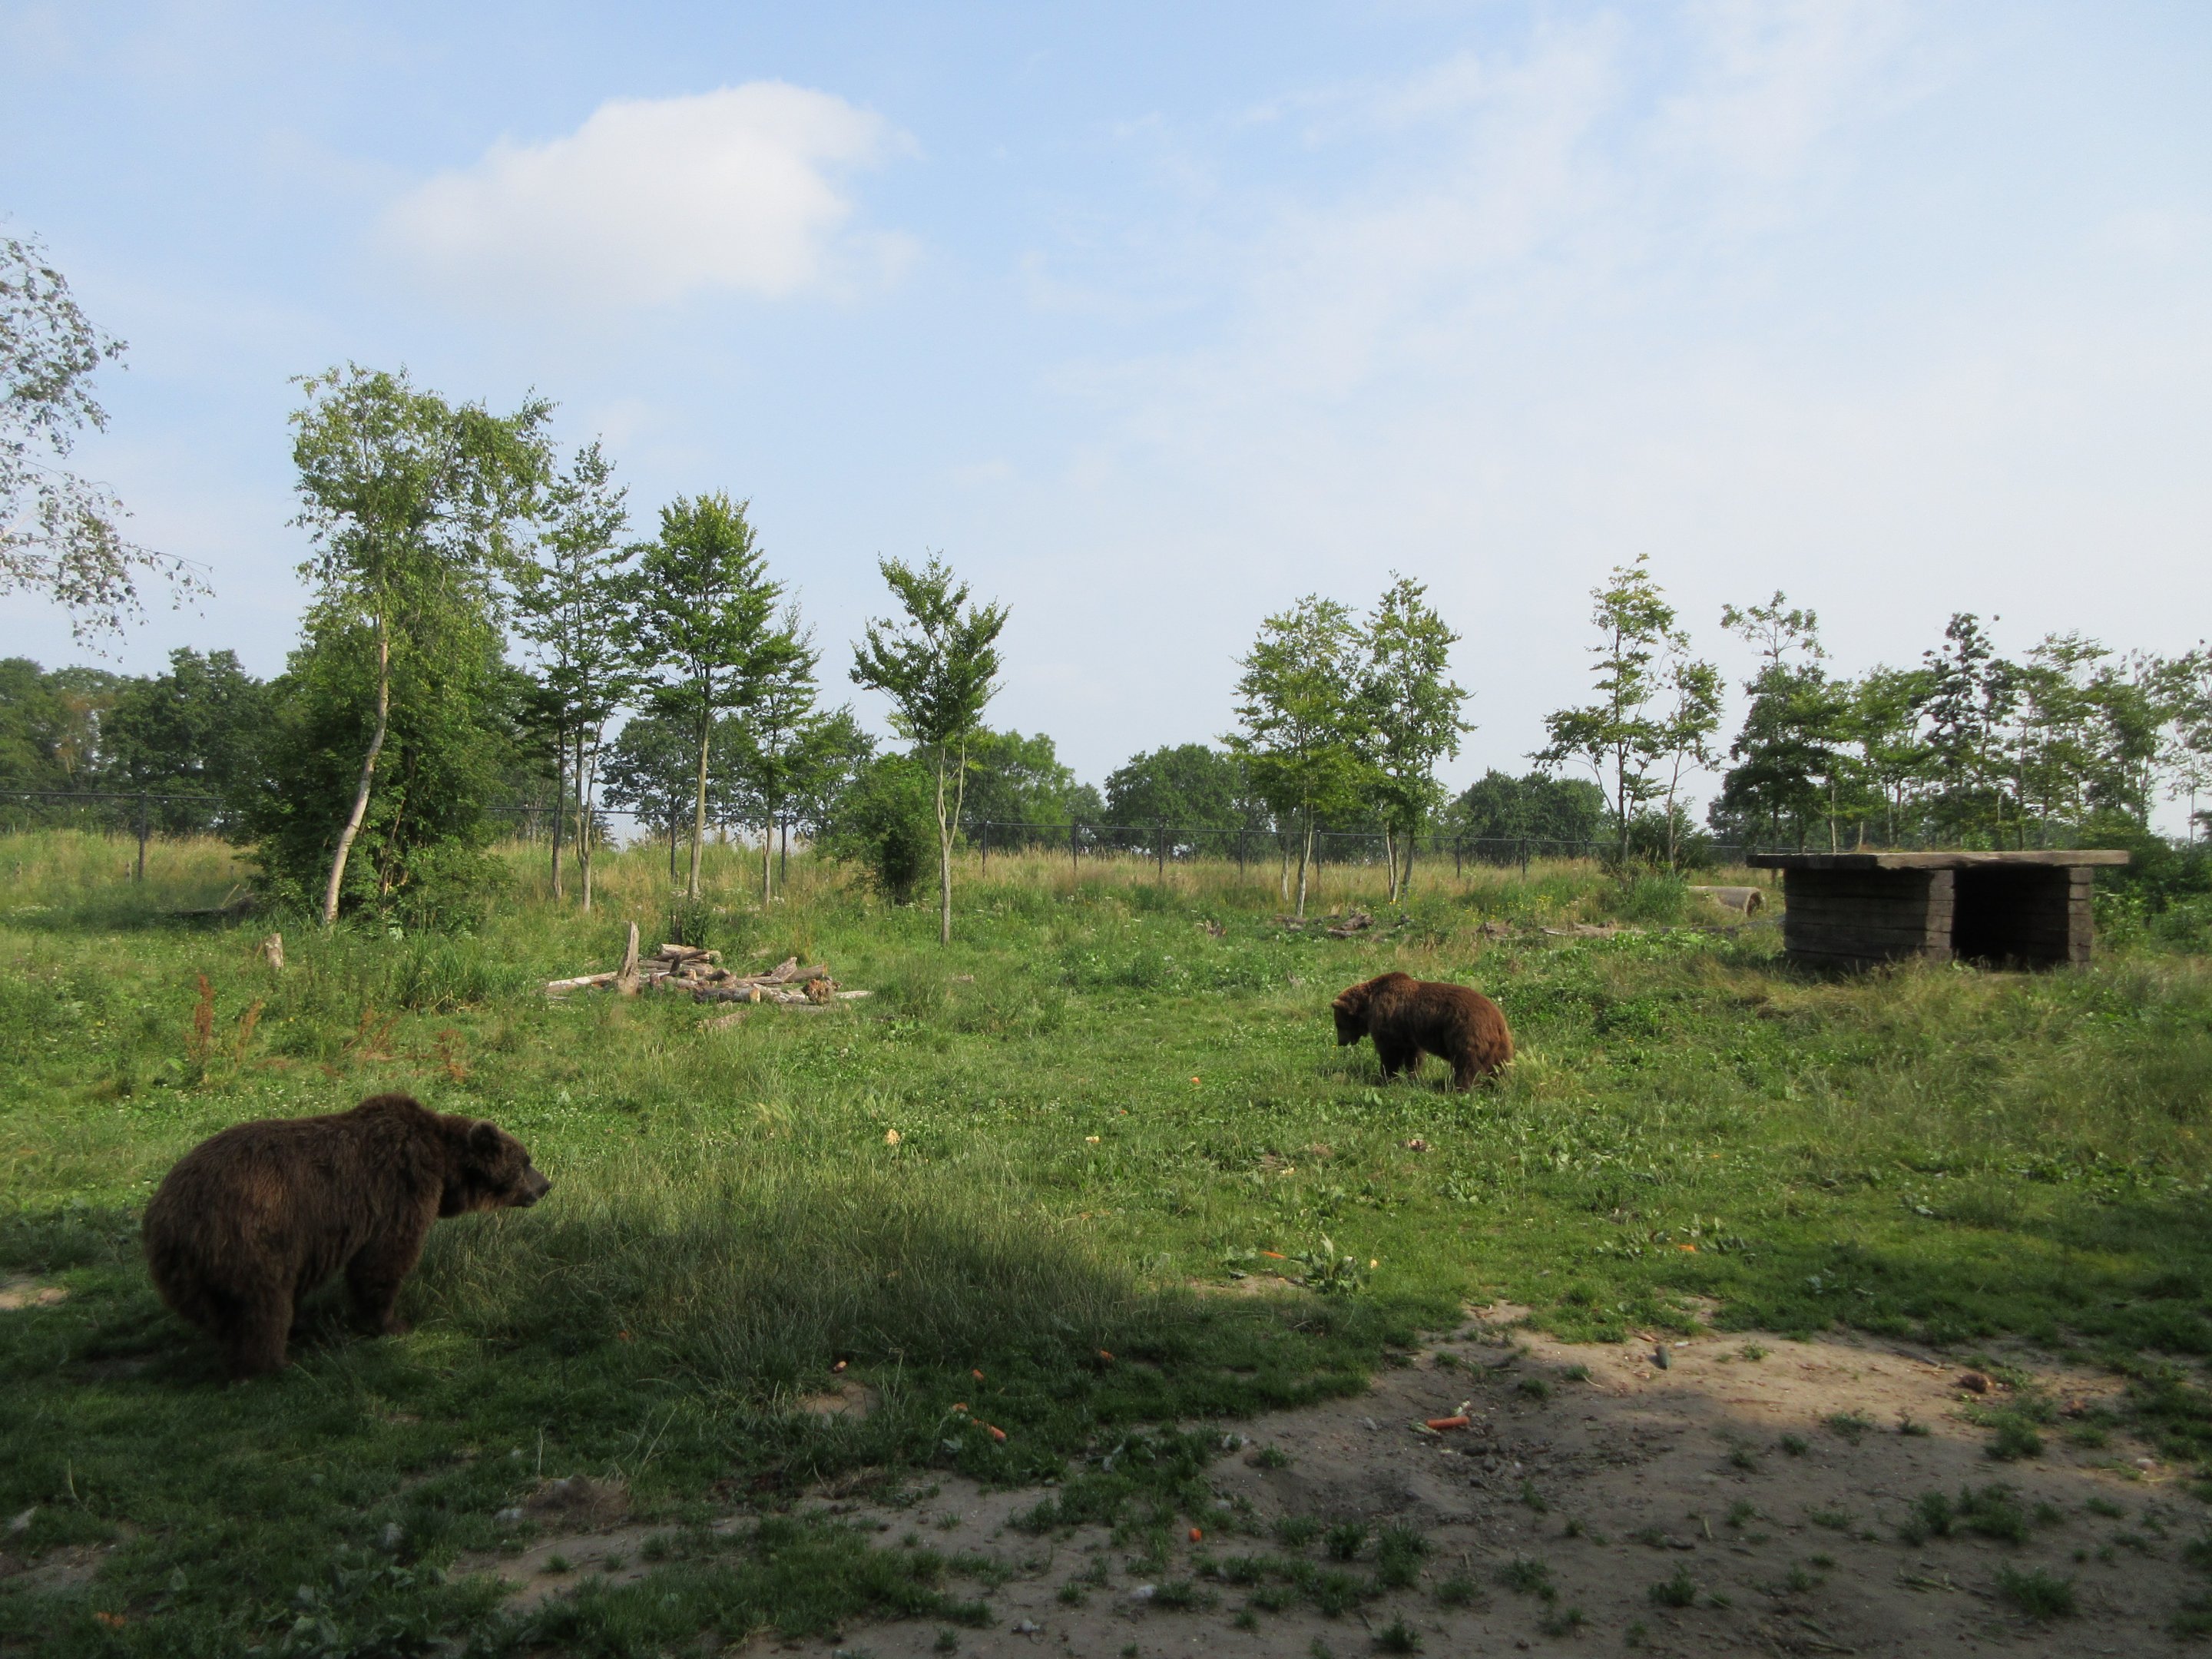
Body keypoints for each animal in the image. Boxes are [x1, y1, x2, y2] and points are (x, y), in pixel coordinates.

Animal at [142, 1092, 549, 1379]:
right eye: (526, 1161)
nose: (546, 1185)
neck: (444, 1167)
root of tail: (167, 1216)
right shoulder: (400, 1191)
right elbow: (383, 1261)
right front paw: (392, 1323)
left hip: (191, 1269)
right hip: (251, 1237)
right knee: (262, 1304)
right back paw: (273, 1363)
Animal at [1330, 971, 1513, 1089]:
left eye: (1339, 1024)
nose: (1341, 1042)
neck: (1369, 1004)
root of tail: (1496, 1020)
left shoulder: (1389, 1020)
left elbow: (1391, 1052)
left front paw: (1384, 1078)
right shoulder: (1408, 1032)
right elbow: (1413, 1056)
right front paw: (1412, 1076)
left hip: (1466, 1031)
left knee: (1466, 1062)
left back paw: (1460, 1087)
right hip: (1501, 1043)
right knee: (1501, 1064)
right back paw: (1500, 1084)